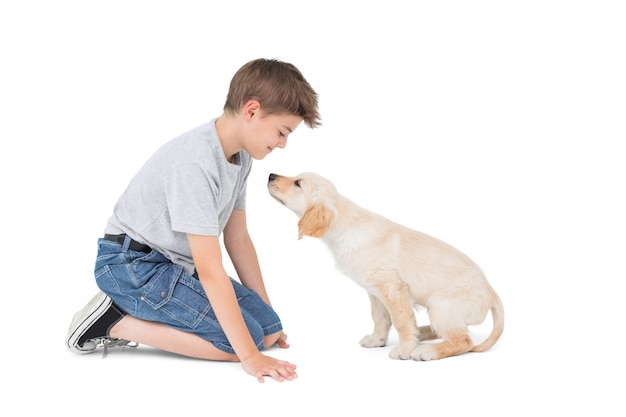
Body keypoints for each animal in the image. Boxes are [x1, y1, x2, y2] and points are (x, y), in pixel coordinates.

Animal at [266, 171, 502, 360]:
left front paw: (405, 349)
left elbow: (401, 321)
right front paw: (377, 340)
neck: (346, 225)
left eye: (298, 183)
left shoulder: (392, 288)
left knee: (463, 341)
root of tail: (492, 293)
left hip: (440, 304)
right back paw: (421, 334)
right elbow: (379, 318)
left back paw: (426, 350)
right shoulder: (375, 292)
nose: (270, 175)